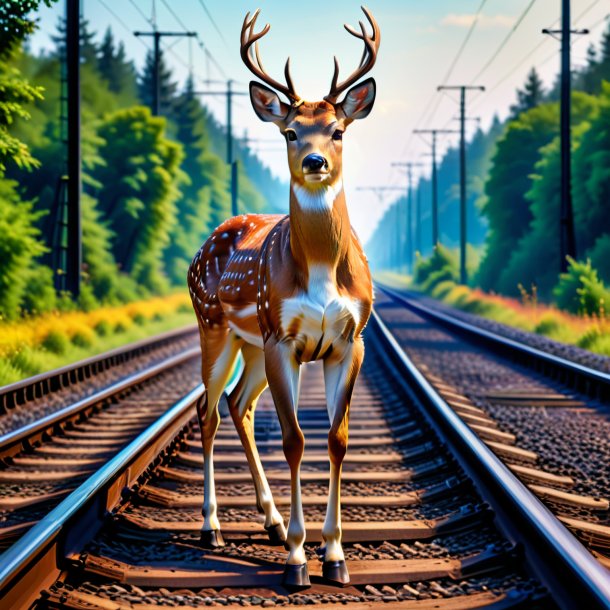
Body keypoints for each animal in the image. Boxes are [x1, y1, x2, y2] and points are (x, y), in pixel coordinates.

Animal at [186, 3, 376, 584]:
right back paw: (212, 527)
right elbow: (294, 440)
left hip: (250, 343)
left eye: (337, 131)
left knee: (238, 403)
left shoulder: (351, 339)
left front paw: (335, 557)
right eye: (291, 132)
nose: (315, 162)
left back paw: (267, 522)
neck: (319, 272)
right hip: (216, 325)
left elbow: (336, 439)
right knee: (208, 410)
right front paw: (297, 558)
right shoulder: (283, 337)